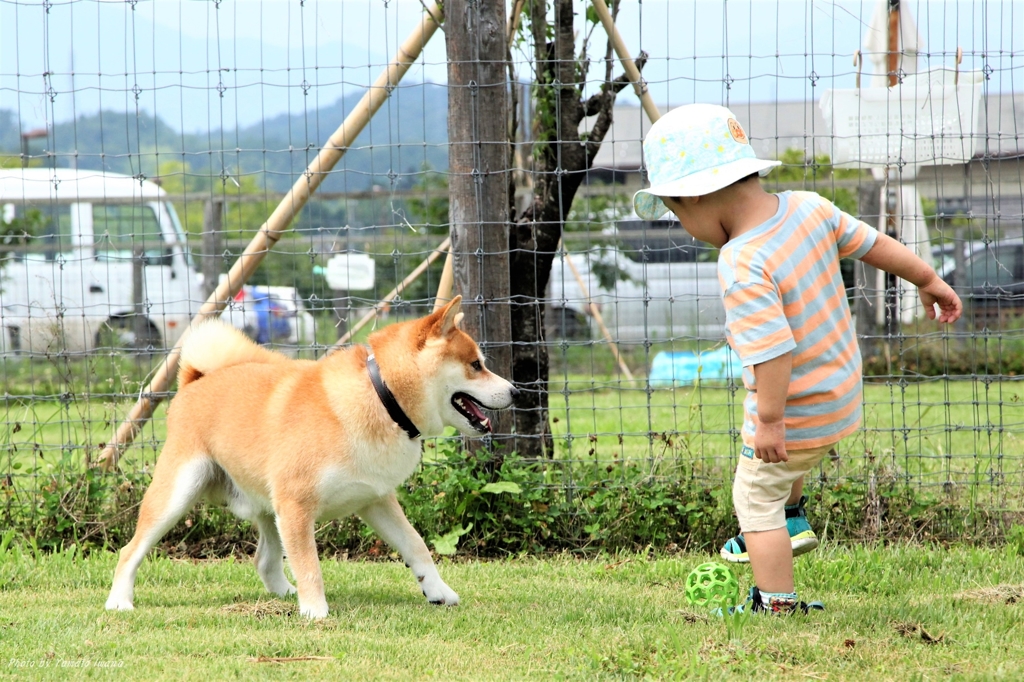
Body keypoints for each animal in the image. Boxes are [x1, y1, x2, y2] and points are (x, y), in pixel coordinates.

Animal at [108, 296, 516, 614]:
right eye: (476, 365)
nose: (516, 391)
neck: (381, 396)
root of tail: (195, 379)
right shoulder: (297, 505)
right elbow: (309, 565)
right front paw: (316, 611)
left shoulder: (376, 499)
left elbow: (416, 546)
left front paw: (438, 590)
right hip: (179, 494)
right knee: (130, 551)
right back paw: (119, 601)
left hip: (269, 508)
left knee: (265, 561)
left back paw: (285, 594)